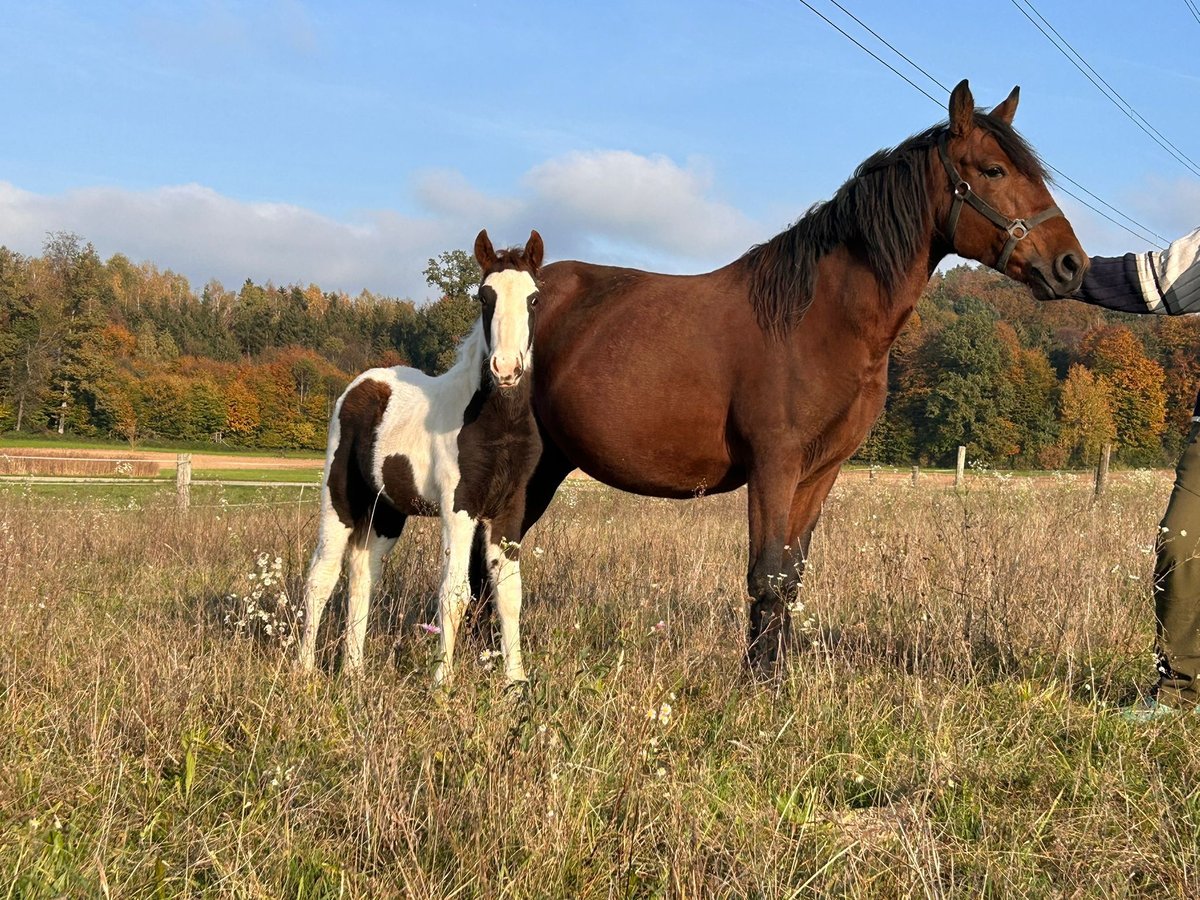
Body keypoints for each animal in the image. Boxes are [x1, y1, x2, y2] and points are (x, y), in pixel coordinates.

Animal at [297, 229, 547, 686]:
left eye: (534, 298)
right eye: (484, 297)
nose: (505, 368)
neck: (496, 422)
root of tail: (360, 385)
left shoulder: (509, 508)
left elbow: (509, 592)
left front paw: (515, 683)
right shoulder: (459, 506)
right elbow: (455, 592)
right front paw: (441, 684)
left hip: (386, 512)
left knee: (363, 575)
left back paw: (354, 672)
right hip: (339, 501)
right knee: (322, 576)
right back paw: (305, 671)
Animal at [506, 82, 1089, 676]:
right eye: (994, 170)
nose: (1071, 265)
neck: (816, 319)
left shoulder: (818, 473)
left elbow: (788, 579)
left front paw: (773, 678)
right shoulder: (774, 465)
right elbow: (764, 575)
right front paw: (754, 683)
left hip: (551, 462)